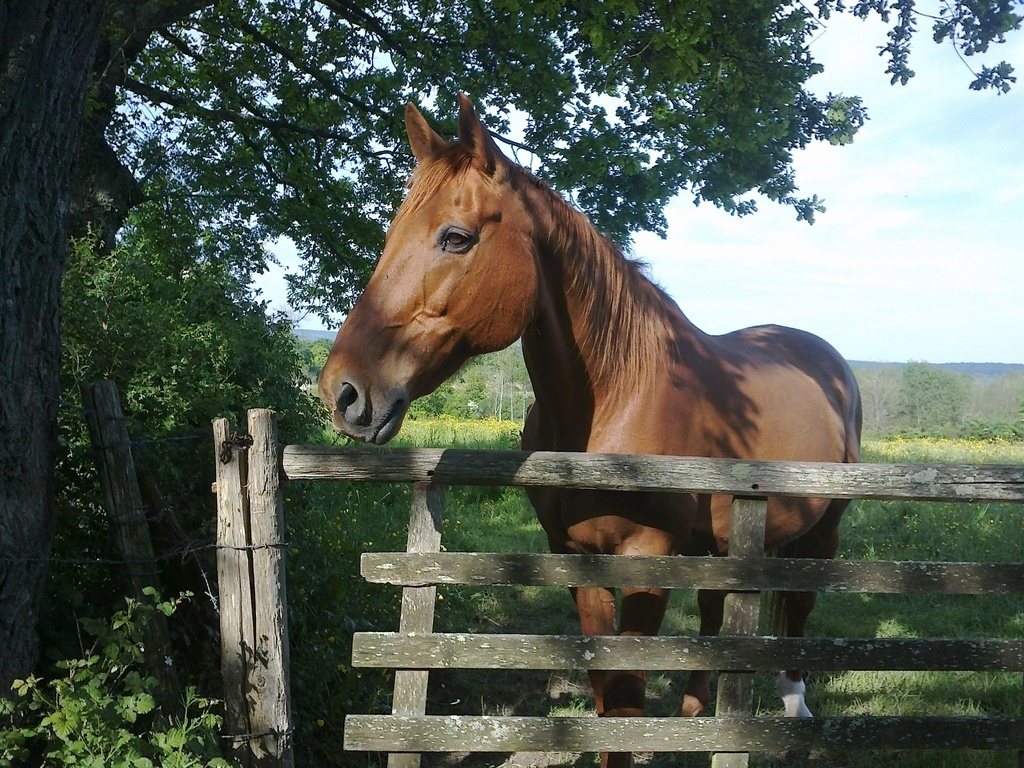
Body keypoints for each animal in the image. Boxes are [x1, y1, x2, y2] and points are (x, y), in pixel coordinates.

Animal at [319, 93, 863, 767]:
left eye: (456, 237)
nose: (343, 391)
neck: (615, 404)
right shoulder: (577, 558)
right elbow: (606, 690)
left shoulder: (647, 559)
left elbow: (626, 698)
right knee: (716, 612)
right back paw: (694, 715)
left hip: (822, 530)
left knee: (800, 606)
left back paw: (794, 709)